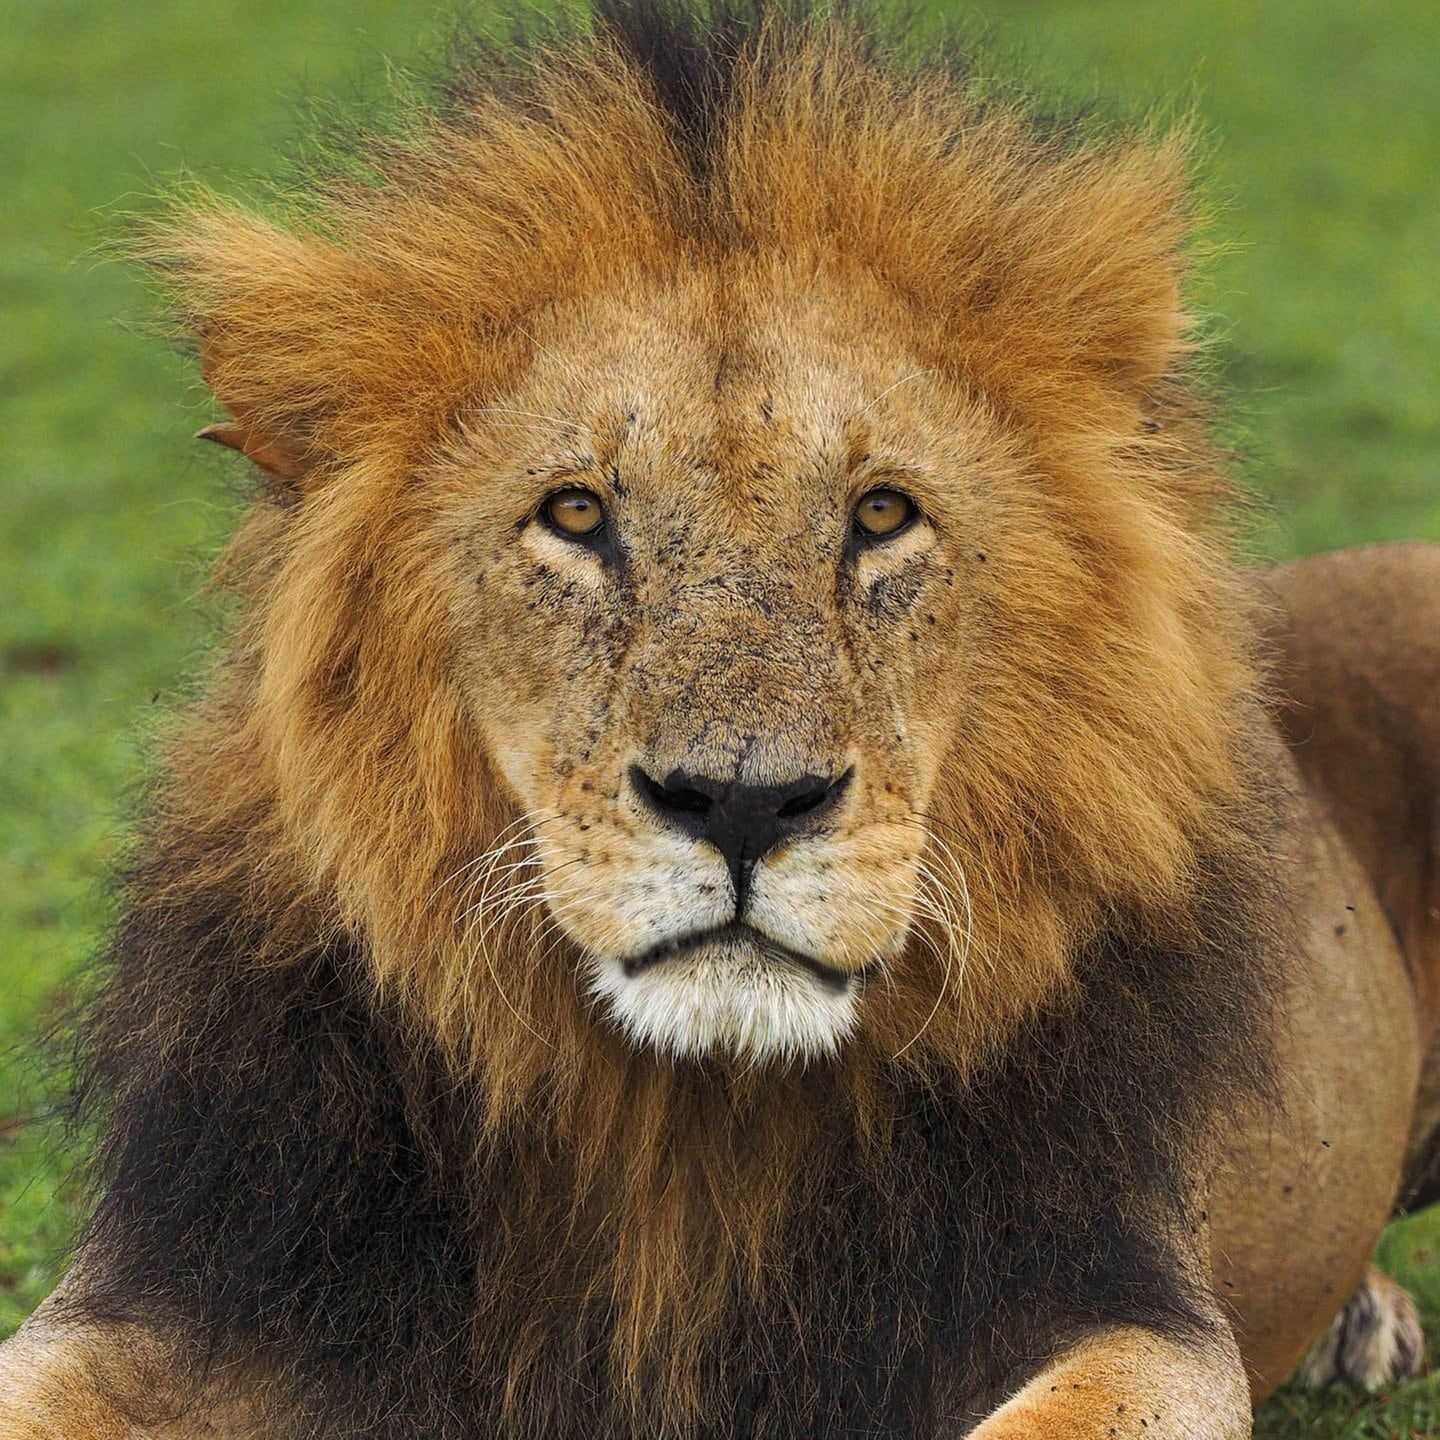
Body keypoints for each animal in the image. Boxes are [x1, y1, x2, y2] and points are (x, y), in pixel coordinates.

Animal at [2, 3, 1437, 1437]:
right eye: (576, 513)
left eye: (881, 514)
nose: (745, 806)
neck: (680, 1124)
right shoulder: (183, 1284)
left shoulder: (1124, 1304)